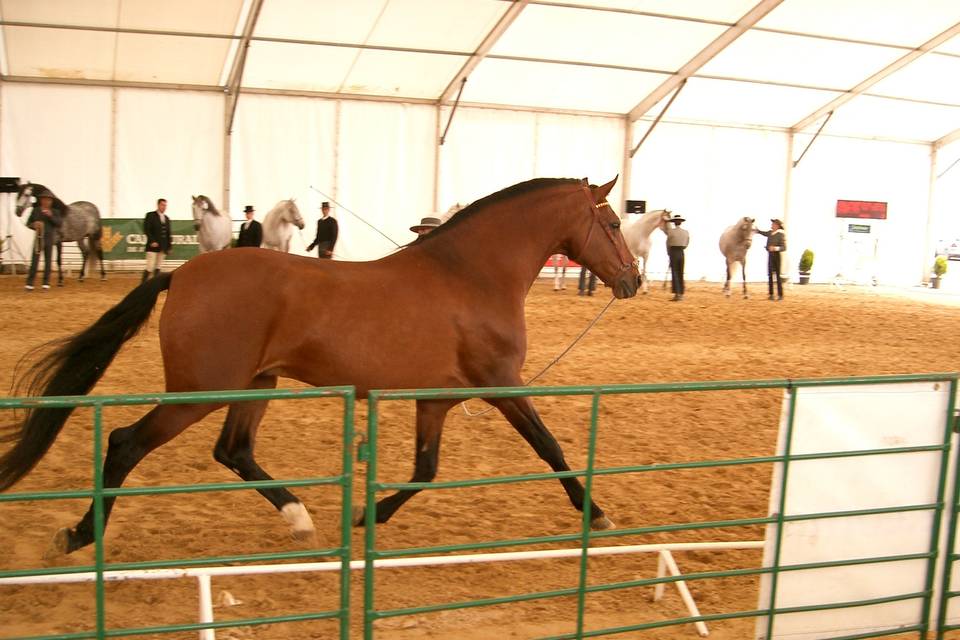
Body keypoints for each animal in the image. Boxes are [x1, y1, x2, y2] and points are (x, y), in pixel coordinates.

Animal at [3, 176, 640, 556]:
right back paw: (80, 534)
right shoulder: (503, 387)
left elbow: (425, 471)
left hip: (255, 386)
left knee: (233, 451)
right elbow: (550, 448)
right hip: (200, 391)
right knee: (126, 443)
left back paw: (300, 518)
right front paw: (599, 515)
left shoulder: (435, 400)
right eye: (612, 223)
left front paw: (364, 516)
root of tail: (180, 275)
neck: (470, 276)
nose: (632, 280)